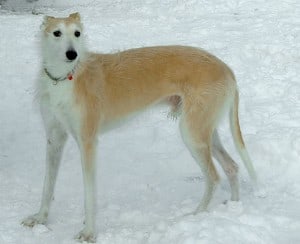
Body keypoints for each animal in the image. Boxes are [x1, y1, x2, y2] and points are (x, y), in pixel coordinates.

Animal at [21, 12, 256, 242]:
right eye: (57, 33)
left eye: (77, 33)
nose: (72, 54)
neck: (64, 77)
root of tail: (227, 70)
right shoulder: (54, 138)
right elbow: (47, 184)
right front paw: (40, 218)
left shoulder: (88, 142)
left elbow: (89, 192)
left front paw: (89, 233)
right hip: (205, 131)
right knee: (232, 166)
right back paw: (234, 206)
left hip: (192, 133)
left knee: (214, 177)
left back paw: (197, 216)